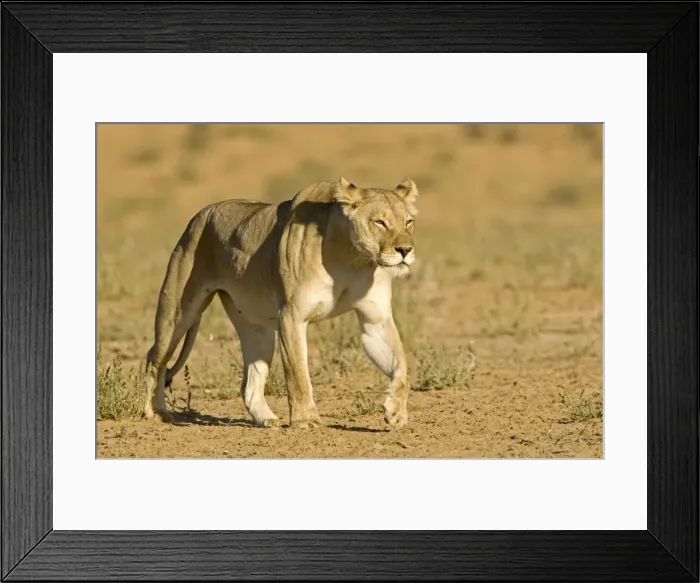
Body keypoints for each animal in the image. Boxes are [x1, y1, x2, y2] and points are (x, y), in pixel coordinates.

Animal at [143, 177, 419, 428]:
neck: (352, 258)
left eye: (408, 222)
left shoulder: (375, 320)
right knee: (154, 359)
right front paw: (306, 420)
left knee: (249, 384)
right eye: (380, 222)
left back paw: (267, 420)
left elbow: (402, 365)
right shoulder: (291, 316)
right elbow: (298, 373)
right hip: (178, 313)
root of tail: (200, 215)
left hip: (257, 329)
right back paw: (155, 413)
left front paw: (396, 412)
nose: (405, 250)